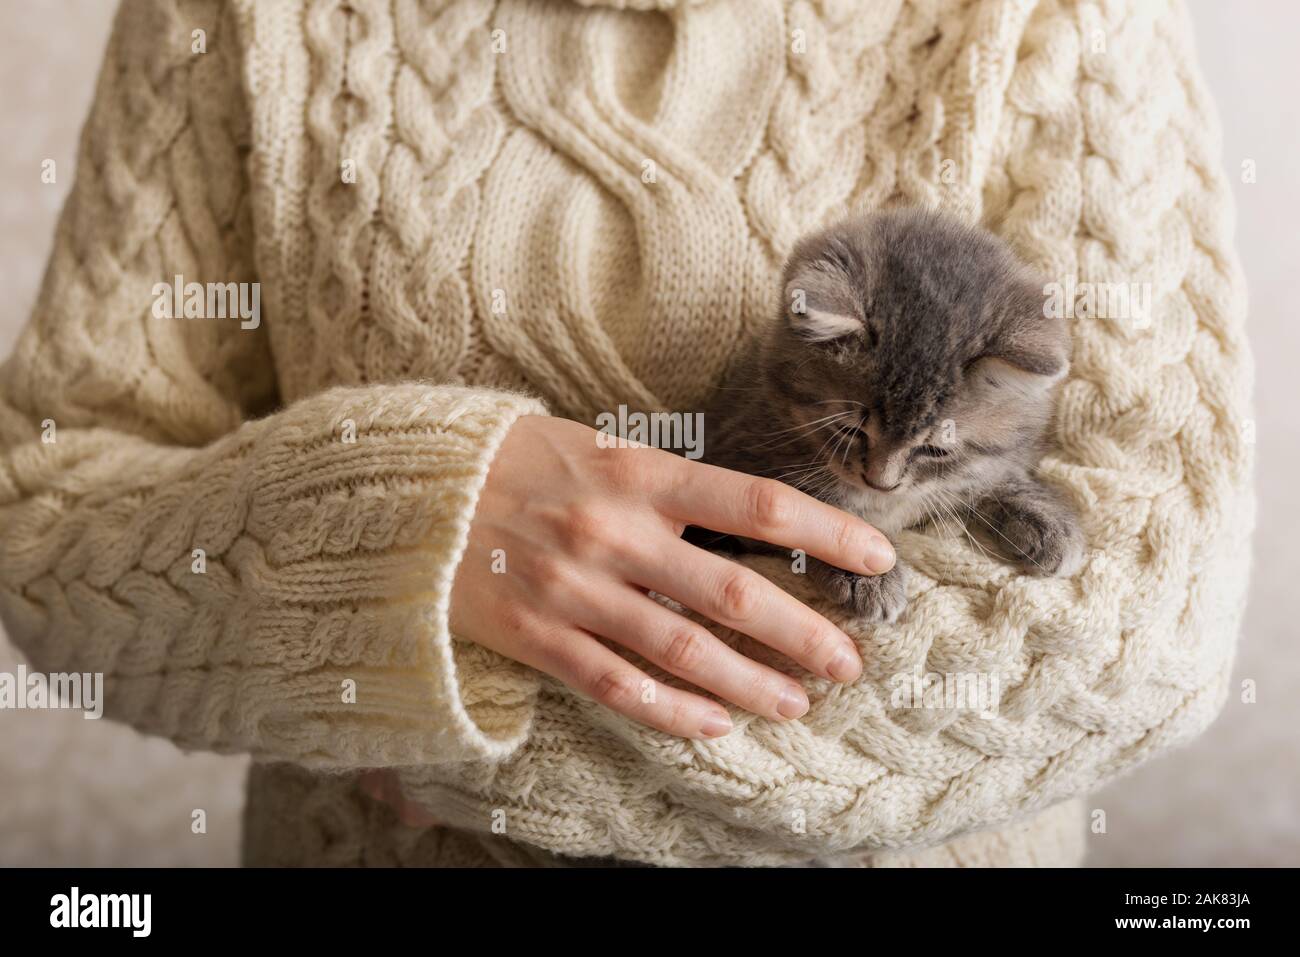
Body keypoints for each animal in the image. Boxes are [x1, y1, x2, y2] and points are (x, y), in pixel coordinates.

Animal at [696, 209, 1081, 624]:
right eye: (849, 430)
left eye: (936, 451)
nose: (881, 483)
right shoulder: (738, 448)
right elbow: (813, 505)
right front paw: (862, 571)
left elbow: (988, 473)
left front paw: (1045, 517)